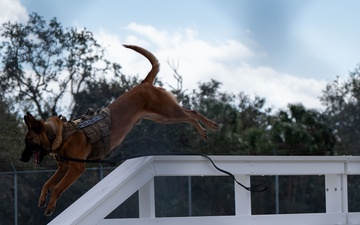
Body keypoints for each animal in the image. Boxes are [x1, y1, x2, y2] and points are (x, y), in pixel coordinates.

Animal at [20, 44, 219, 216]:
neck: (59, 135)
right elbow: (48, 183)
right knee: (190, 112)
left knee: (192, 114)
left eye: (29, 141)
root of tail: (144, 83)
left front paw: (50, 206)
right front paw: (42, 198)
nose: (21, 159)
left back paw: (207, 128)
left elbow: (58, 187)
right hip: (161, 116)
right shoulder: (64, 168)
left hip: (168, 112)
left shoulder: (76, 168)